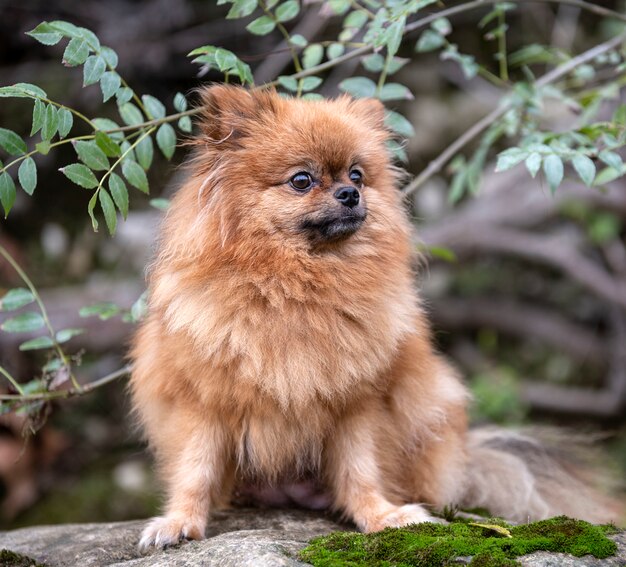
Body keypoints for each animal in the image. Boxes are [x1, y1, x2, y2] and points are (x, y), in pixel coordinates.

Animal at [129, 84, 616, 552]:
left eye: (357, 175)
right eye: (302, 180)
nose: (351, 194)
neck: (298, 286)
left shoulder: (357, 406)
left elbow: (360, 470)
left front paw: (382, 516)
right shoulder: (204, 404)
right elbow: (196, 470)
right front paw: (180, 522)